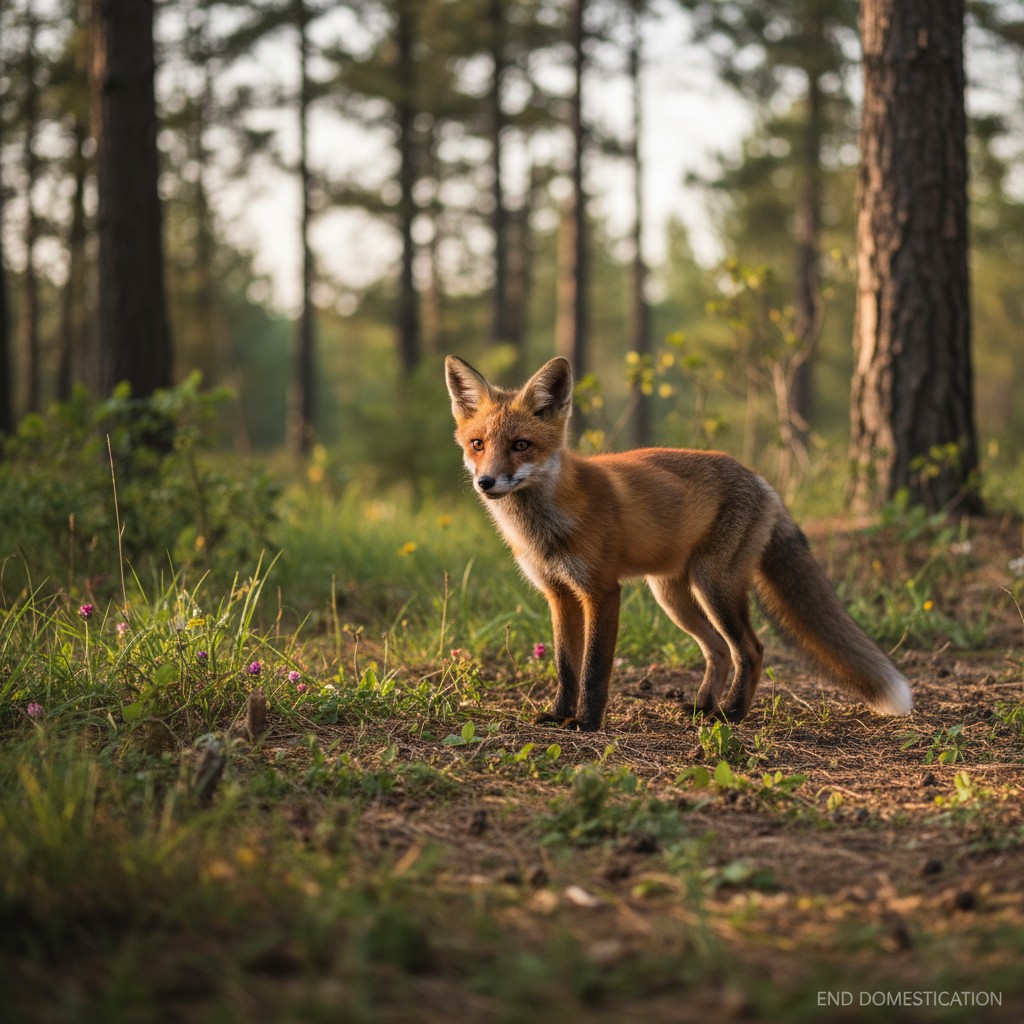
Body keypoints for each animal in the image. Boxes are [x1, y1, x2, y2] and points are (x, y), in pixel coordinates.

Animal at [445, 355, 913, 732]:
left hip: (714, 586)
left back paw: (731, 714)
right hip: (673, 596)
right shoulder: (558, 594)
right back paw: (703, 707)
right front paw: (560, 715)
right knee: (718, 651)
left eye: (521, 445)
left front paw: (587, 723)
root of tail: (759, 478)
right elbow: (565, 667)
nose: (486, 482)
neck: (546, 524)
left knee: (751, 649)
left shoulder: (602, 591)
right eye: (477, 444)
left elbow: (594, 669)